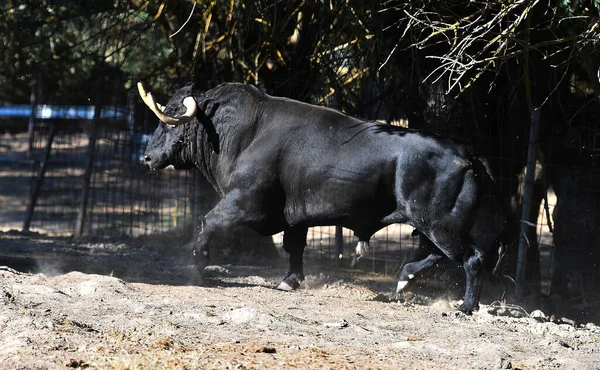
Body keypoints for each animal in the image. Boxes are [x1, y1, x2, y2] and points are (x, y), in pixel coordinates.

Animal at [139, 82, 516, 314]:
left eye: (170, 122)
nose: (146, 157)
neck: (243, 132)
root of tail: (465, 152)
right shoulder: (295, 217)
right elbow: (294, 248)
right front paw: (289, 282)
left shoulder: (243, 202)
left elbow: (208, 222)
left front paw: (197, 264)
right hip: (435, 225)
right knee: (440, 255)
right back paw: (403, 279)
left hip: (440, 223)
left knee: (471, 259)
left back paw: (465, 306)